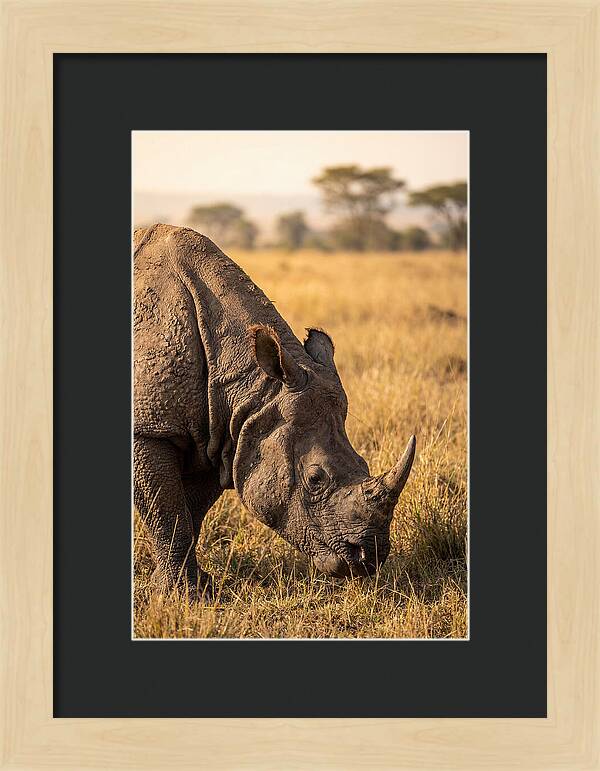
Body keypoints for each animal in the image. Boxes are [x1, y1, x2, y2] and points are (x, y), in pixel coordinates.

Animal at [134, 224, 416, 598]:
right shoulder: (150, 429)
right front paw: (182, 596)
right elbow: (168, 514)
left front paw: (192, 588)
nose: (369, 559)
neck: (252, 387)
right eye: (315, 479)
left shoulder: (221, 433)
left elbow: (189, 513)